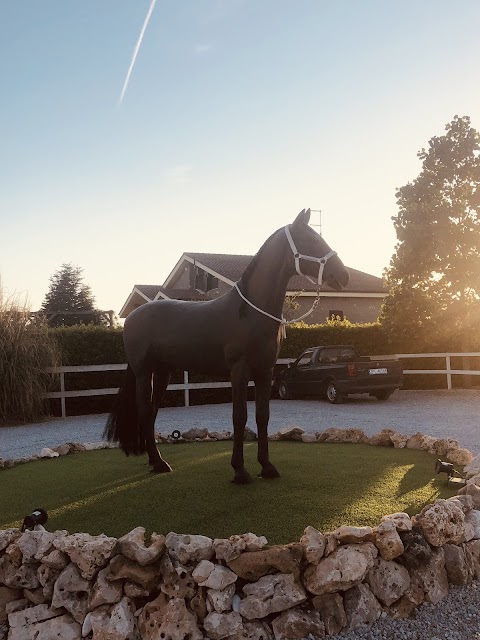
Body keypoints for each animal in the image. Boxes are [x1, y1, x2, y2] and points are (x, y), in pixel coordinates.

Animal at [105, 210, 348, 484]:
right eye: (312, 240)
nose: (343, 276)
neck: (250, 312)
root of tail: (132, 318)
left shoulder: (265, 372)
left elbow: (262, 416)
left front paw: (267, 466)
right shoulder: (239, 371)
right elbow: (239, 416)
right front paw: (240, 470)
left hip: (163, 372)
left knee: (153, 411)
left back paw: (153, 460)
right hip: (144, 372)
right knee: (146, 411)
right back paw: (159, 463)